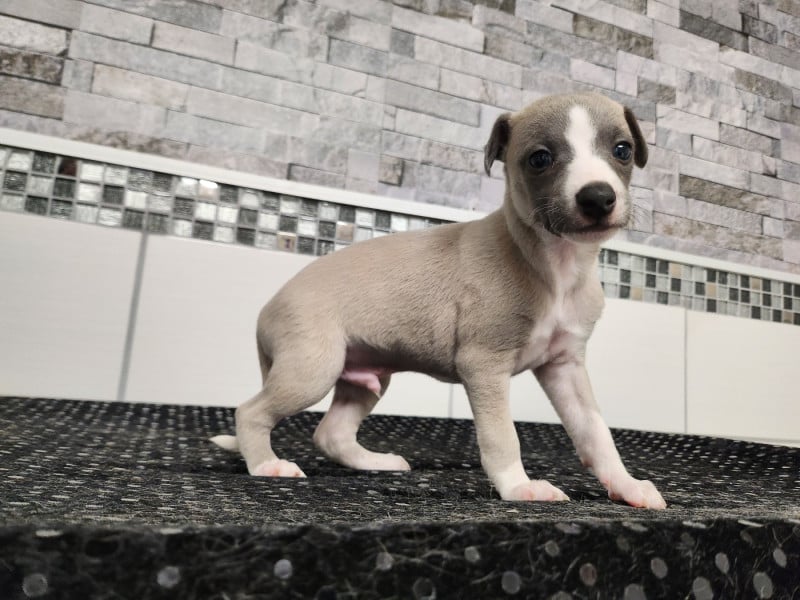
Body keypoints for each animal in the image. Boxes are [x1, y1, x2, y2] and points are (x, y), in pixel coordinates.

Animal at [212, 92, 666, 509]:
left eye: (622, 150)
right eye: (540, 158)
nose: (597, 198)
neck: (552, 265)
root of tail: (269, 307)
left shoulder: (565, 366)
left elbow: (596, 432)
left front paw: (626, 485)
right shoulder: (483, 364)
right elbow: (502, 435)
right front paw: (519, 487)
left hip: (364, 376)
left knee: (331, 432)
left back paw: (375, 463)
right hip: (312, 368)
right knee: (250, 412)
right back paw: (267, 465)